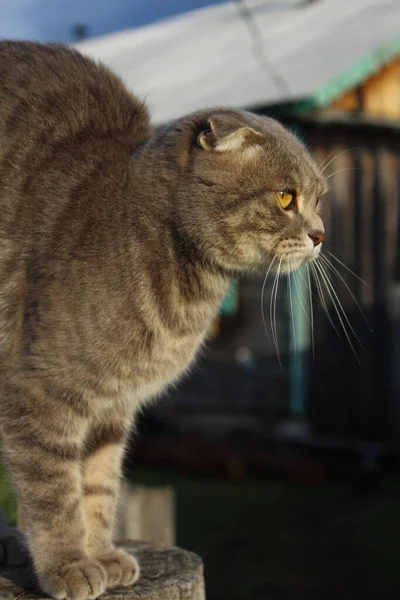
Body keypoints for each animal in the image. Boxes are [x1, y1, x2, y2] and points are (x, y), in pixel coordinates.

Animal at [0, 39, 324, 596]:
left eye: (320, 197)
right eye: (286, 197)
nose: (322, 233)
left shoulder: (112, 407)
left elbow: (98, 486)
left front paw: (103, 554)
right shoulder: (38, 389)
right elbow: (53, 492)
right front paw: (68, 564)